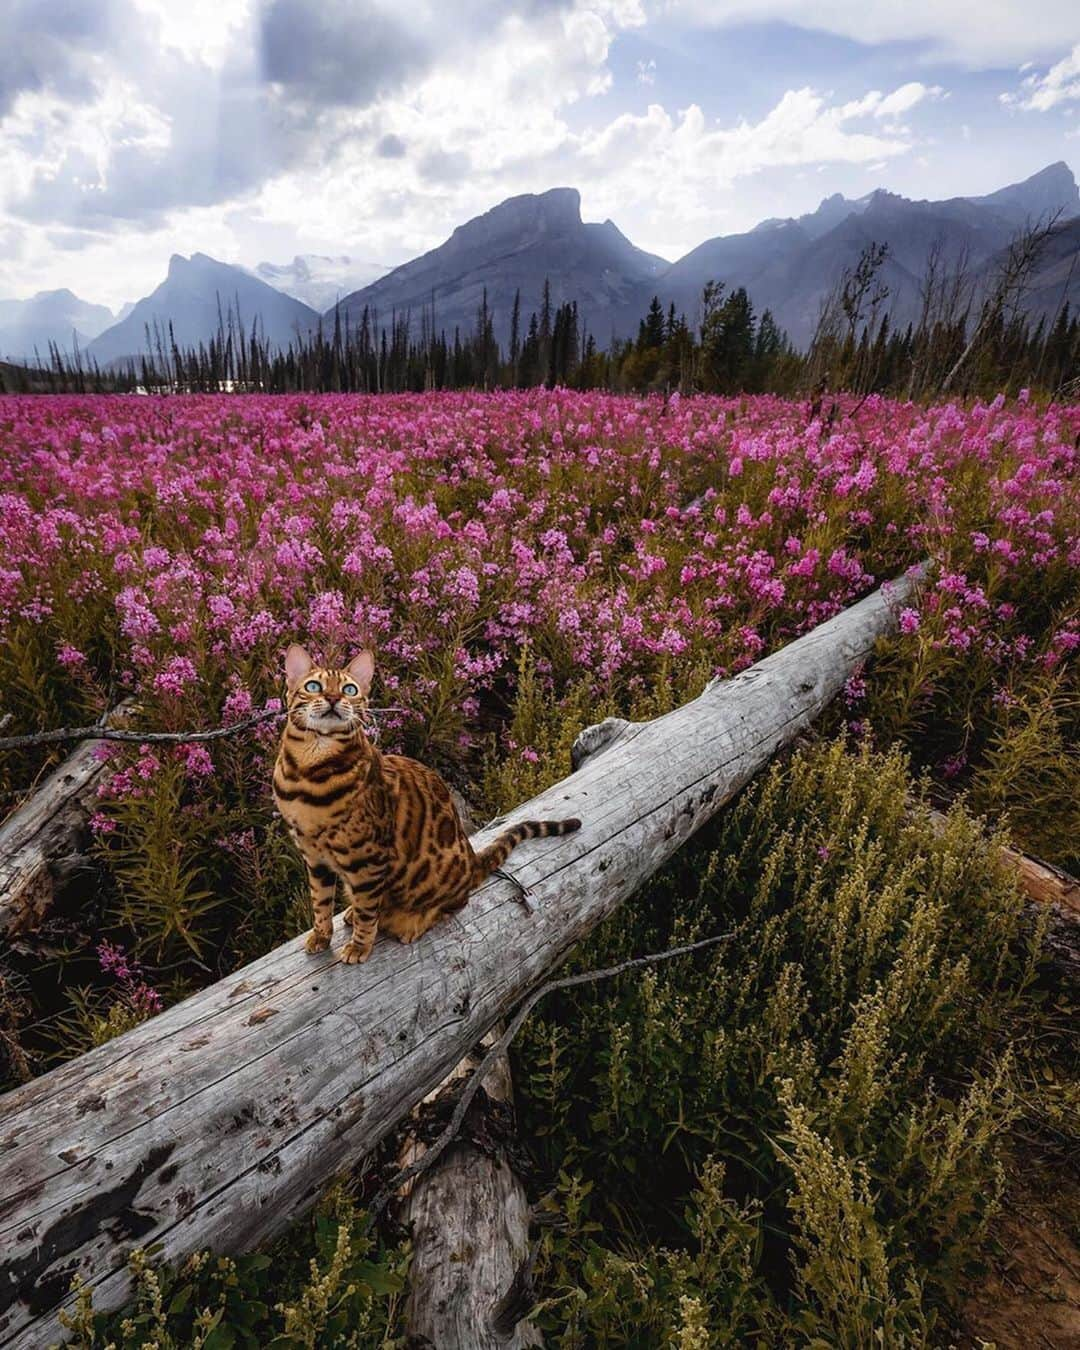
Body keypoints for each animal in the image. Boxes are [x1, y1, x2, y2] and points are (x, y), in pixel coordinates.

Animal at [272, 642, 583, 961]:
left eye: (349, 689)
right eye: (313, 686)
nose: (334, 698)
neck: (308, 773)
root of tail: (472, 861)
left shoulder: (368, 859)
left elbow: (368, 911)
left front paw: (359, 946)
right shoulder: (313, 857)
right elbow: (320, 902)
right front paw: (321, 936)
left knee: (452, 905)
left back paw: (411, 923)